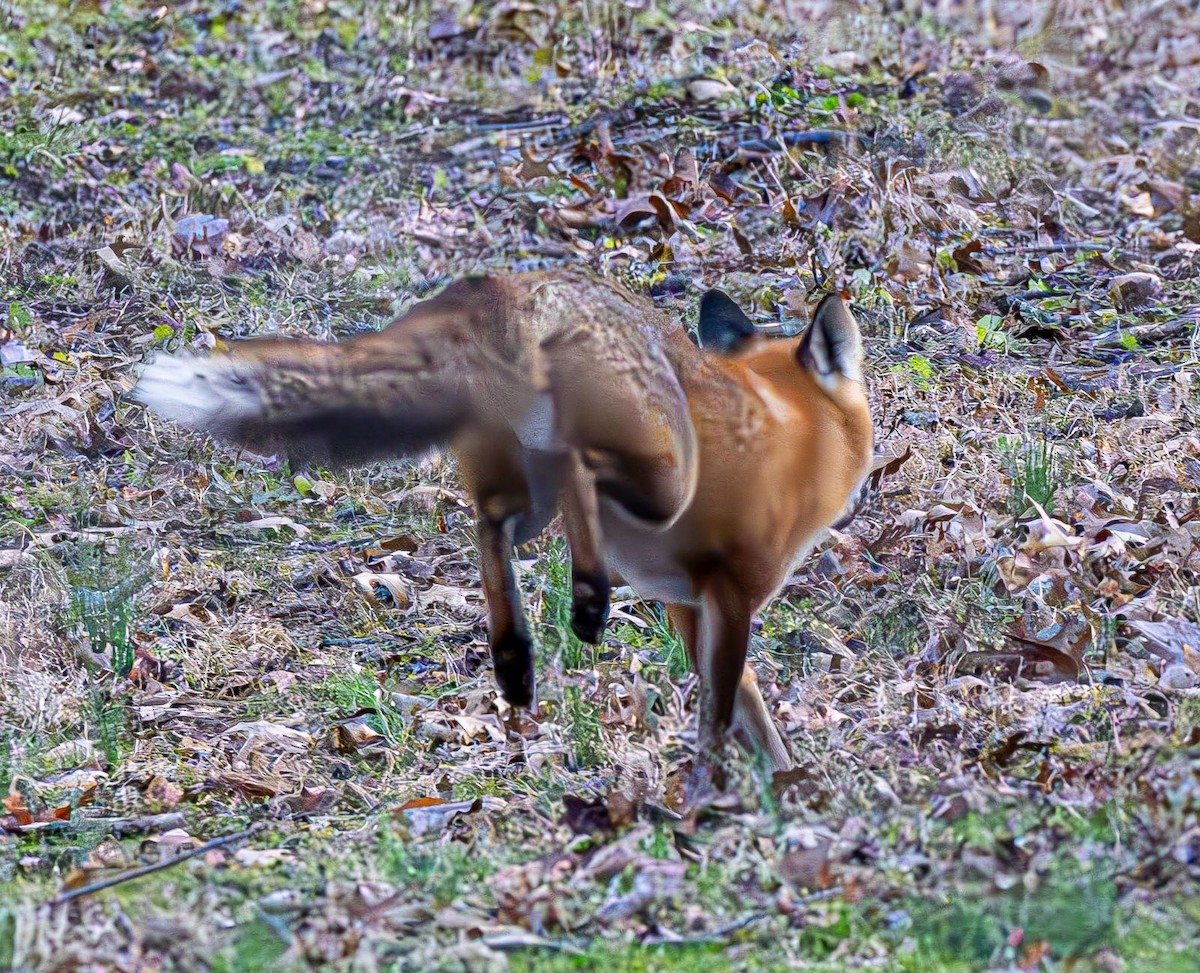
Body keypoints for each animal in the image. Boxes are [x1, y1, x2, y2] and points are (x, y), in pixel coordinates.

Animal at [133, 268, 874, 785]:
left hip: (520, 491)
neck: (789, 433)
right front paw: (755, 788)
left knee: (492, 532)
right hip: (660, 478)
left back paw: (519, 655)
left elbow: (740, 710)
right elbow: (731, 709)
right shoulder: (727, 597)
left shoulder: (686, 604)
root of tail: (511, 285)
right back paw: (585, 601)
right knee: (579, 477)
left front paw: (764, 780)